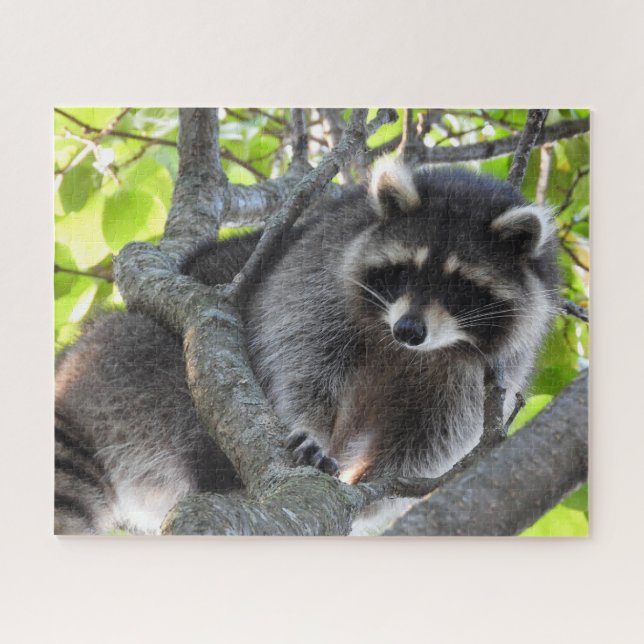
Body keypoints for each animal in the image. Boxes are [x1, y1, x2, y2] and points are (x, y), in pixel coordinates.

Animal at [55, 162, 558, 535]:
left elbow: (436, 436)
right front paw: (311, 429)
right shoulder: (318, 269)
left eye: (459, 285)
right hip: (134, 364)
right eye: (404, 270)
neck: (408, 351)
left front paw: (375, 480)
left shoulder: (493, 369)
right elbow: (299, 357)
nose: (409, 330)